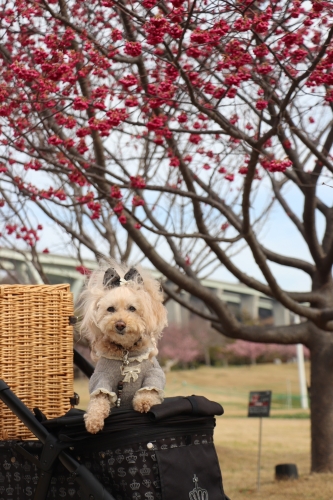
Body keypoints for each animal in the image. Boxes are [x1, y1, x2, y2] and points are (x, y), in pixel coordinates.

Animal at [79, 262, 167, 434]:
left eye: (132, 308)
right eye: (110, 309)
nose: (120, 324)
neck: (126, 351)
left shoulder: (154, 372)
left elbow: (150, 388)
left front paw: (144, 403)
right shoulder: (102, 376)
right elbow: (99, 396)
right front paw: (93, 420)